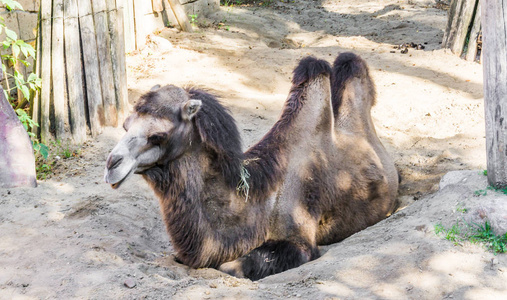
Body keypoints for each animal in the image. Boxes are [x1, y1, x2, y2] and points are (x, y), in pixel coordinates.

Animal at [105, 52, 398, 280]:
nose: (111, 164)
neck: (259, 196)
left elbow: (230, 268)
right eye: (126, 125)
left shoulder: (300, 241)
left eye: (158, 136)